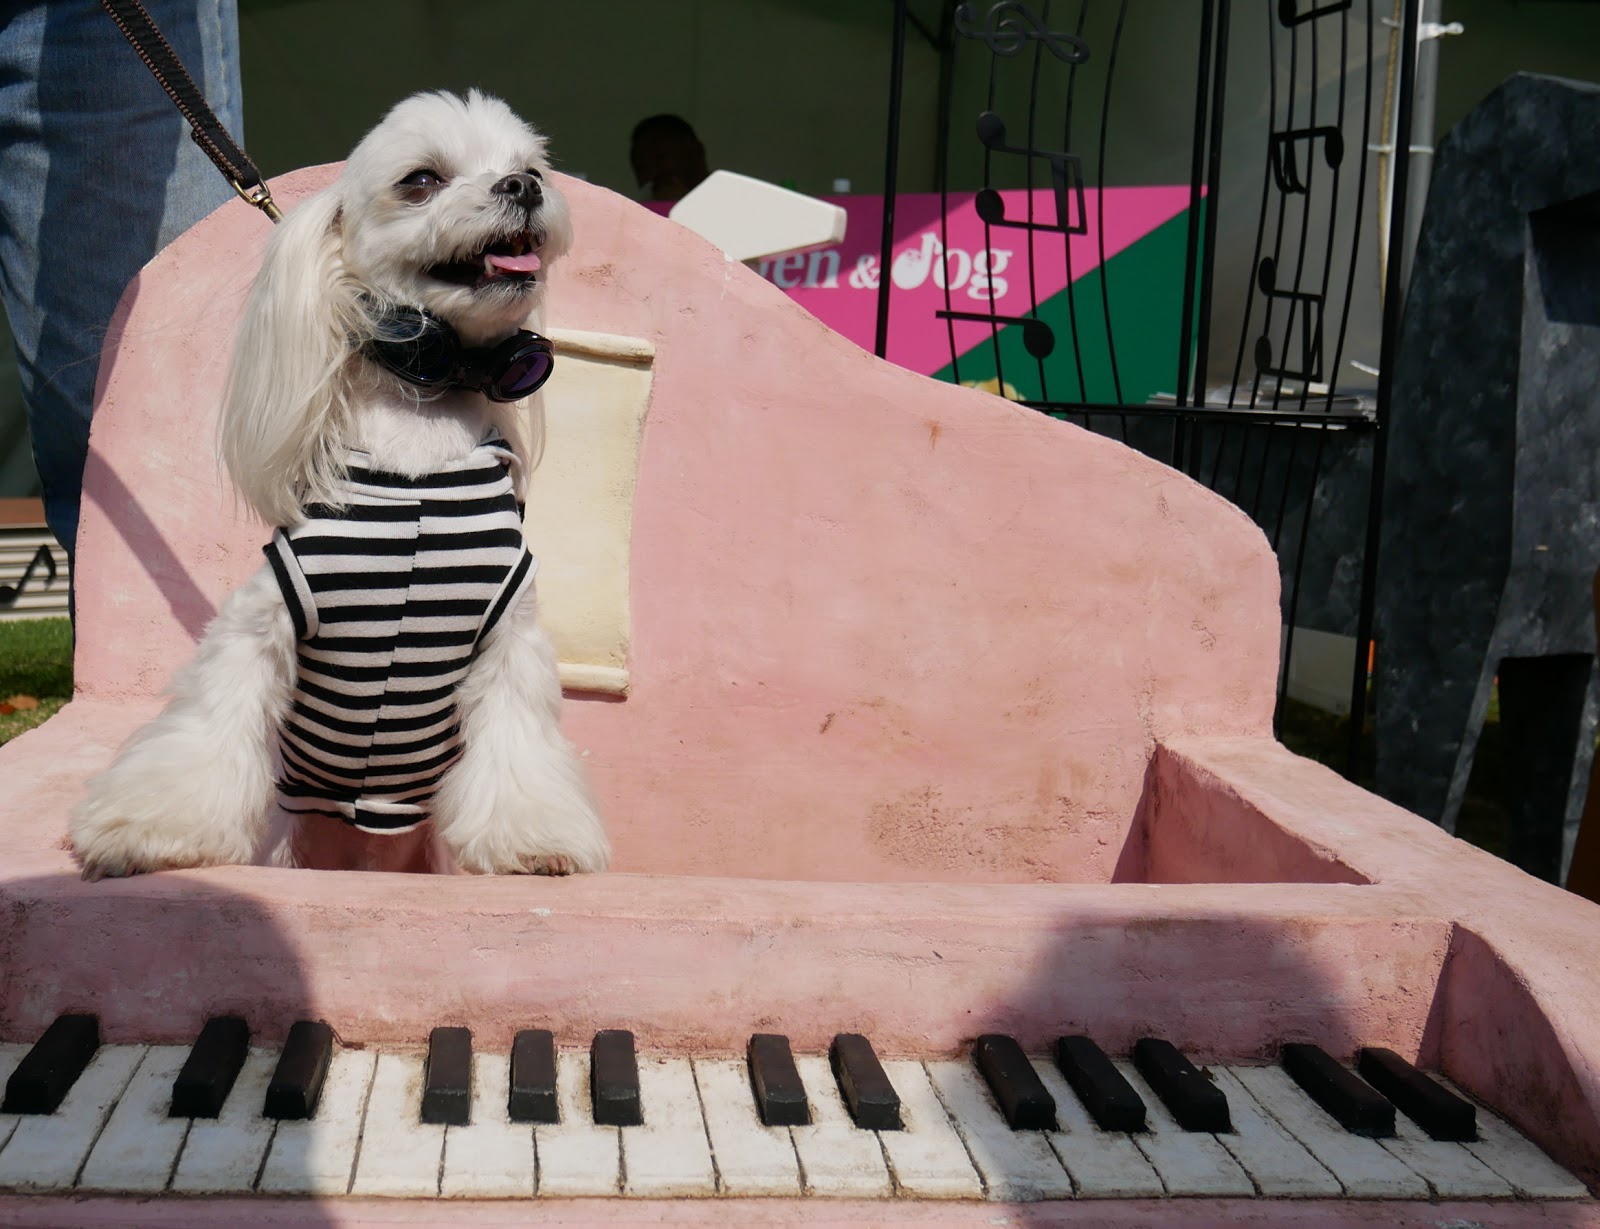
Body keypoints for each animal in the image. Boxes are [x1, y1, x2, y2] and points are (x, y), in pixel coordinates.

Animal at [70, 90, 610, 879]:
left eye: (532, 168)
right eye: (421, 180)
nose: (522, 188)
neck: (422, 408)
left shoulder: (511, 634)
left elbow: (519, 746)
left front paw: (535, 840)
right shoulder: (264, 615)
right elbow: (212, 719)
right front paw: (150, 829)